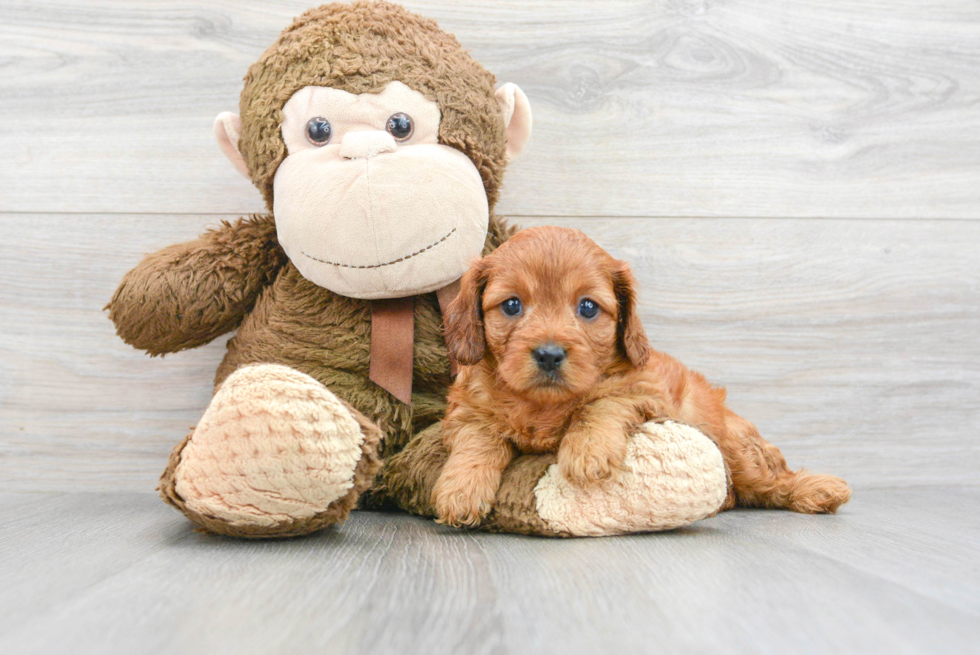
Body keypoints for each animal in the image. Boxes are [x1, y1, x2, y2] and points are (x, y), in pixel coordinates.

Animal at [432, 226, 852, 528]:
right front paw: (461, 490)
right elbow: (477, 439)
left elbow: (601, 402)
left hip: (736, 447)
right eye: (512, 305)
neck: (544, 404)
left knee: (772, 480)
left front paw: (587, 451)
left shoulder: (644, 389)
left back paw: (819, 490)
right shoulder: (467, 410)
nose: (549, 354)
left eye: (588, 307)